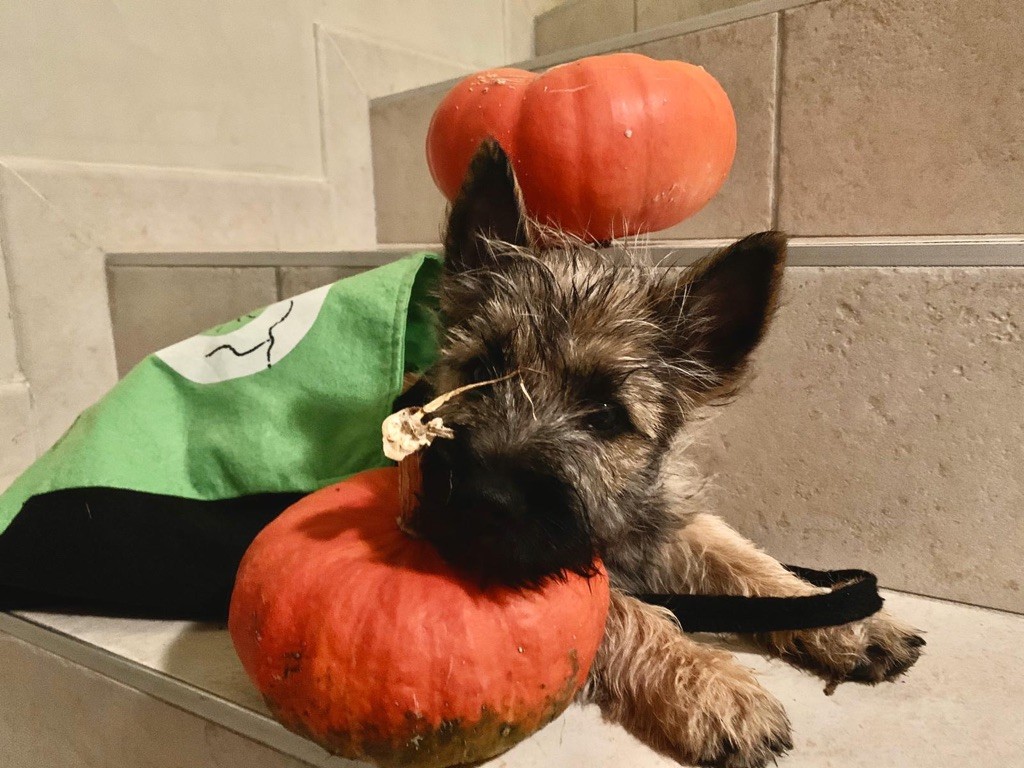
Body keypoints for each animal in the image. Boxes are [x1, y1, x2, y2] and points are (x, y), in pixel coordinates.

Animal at [403, 140, 925, 768]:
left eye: (606, 415)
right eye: (479, 370)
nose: (487, 497)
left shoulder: (665, 518)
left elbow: (742, 558)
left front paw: (847, 618)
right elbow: (627, 612)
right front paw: (714, 688)